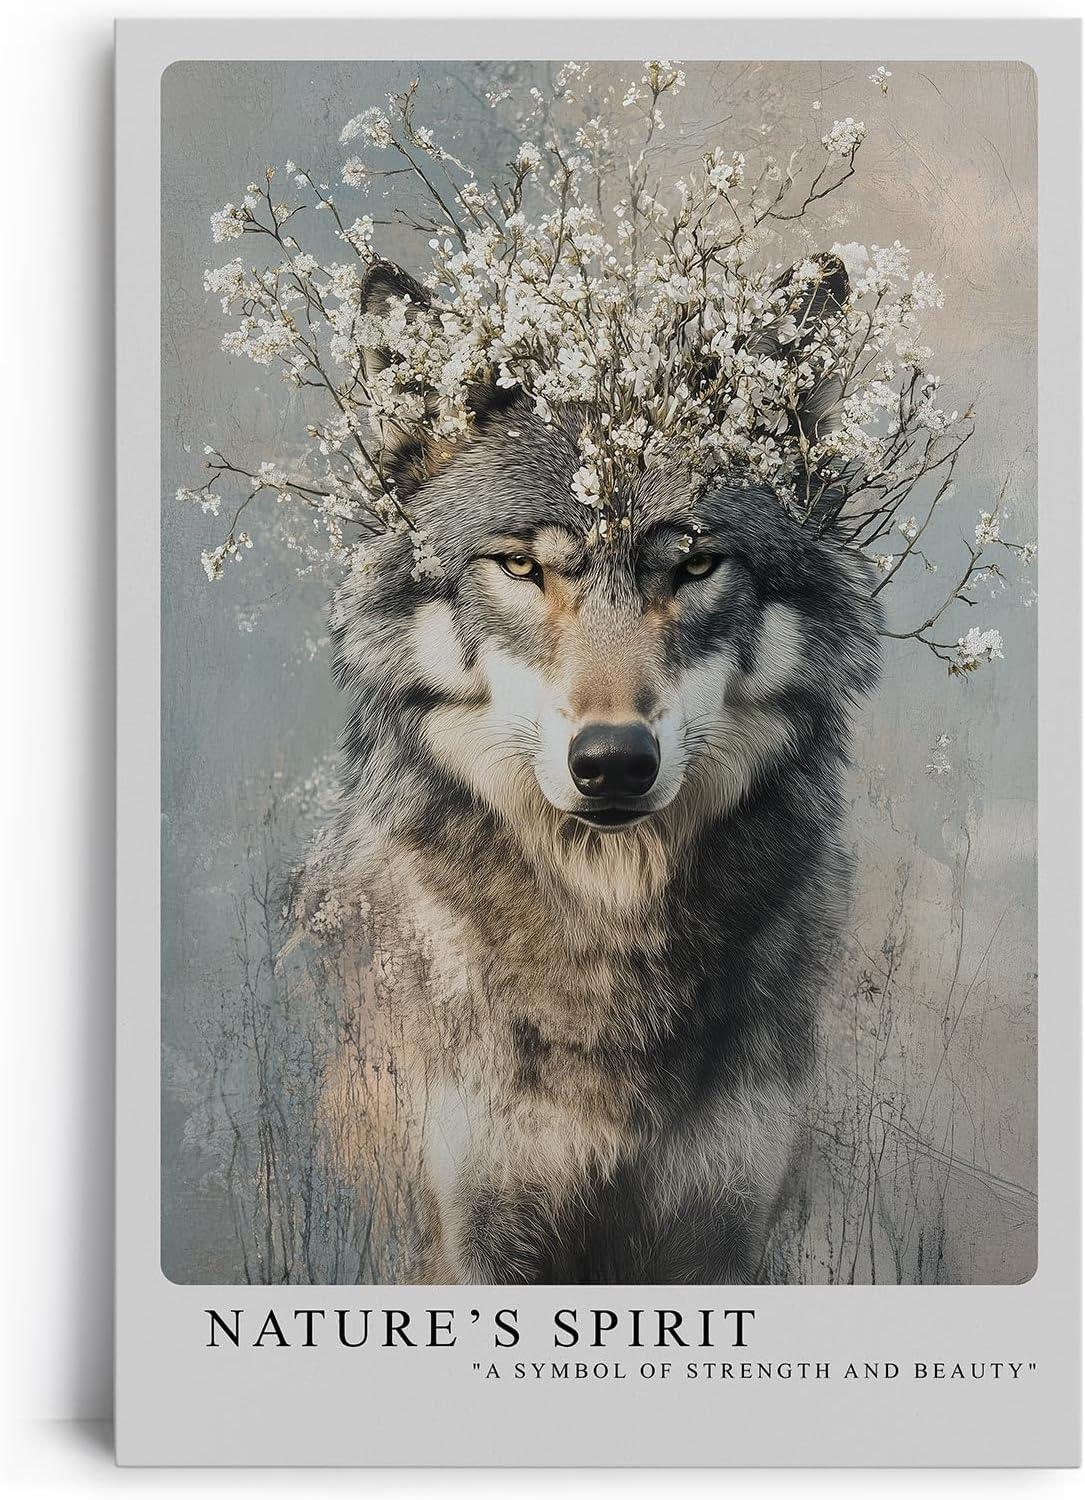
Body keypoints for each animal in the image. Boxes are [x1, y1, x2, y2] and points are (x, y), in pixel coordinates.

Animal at [311, 255, 882, 1284]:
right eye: (521, 568)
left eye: (692, 567)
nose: (613, 763)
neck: (608, 930)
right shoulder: (473, 1237)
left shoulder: (727, 1235)